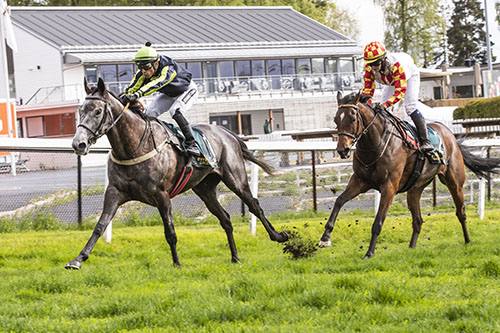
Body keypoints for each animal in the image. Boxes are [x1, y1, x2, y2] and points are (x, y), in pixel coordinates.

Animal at [320, 92, 500, 258]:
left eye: (352, 119)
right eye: (336, 120)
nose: (342, 150)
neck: (375, 144)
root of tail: (450, 135)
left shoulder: (389, 187)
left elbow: (378, 222)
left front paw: (369, 253)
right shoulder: (359, 181)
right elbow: (339, 200)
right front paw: (325, 238)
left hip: (455, 182)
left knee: (461, 213)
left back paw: (467, 241)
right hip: (415, 189)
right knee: (418, 220)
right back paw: (411, 249)